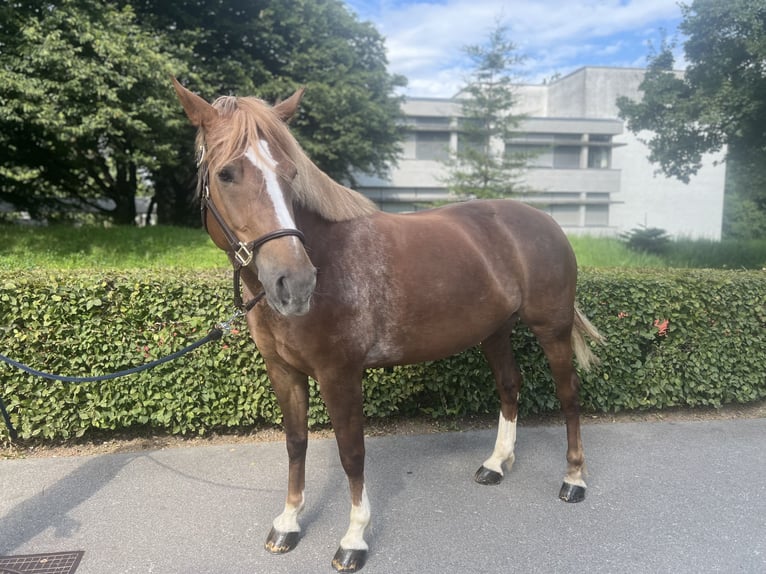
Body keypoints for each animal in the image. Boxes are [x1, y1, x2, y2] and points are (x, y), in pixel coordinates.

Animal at [174, 79, 608, 572]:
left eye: (289, 173)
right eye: (226, 174)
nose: (295, 282)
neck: (331, 257)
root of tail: (546, 221)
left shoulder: (340, 375)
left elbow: (351, 452)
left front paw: (353, 539)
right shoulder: (283, 372)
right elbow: (296, 442)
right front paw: (287, 523)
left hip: (552, 329)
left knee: (568, 395)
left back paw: (574, 479)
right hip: (494, 332)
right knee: (509, 386)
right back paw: (496, 464)